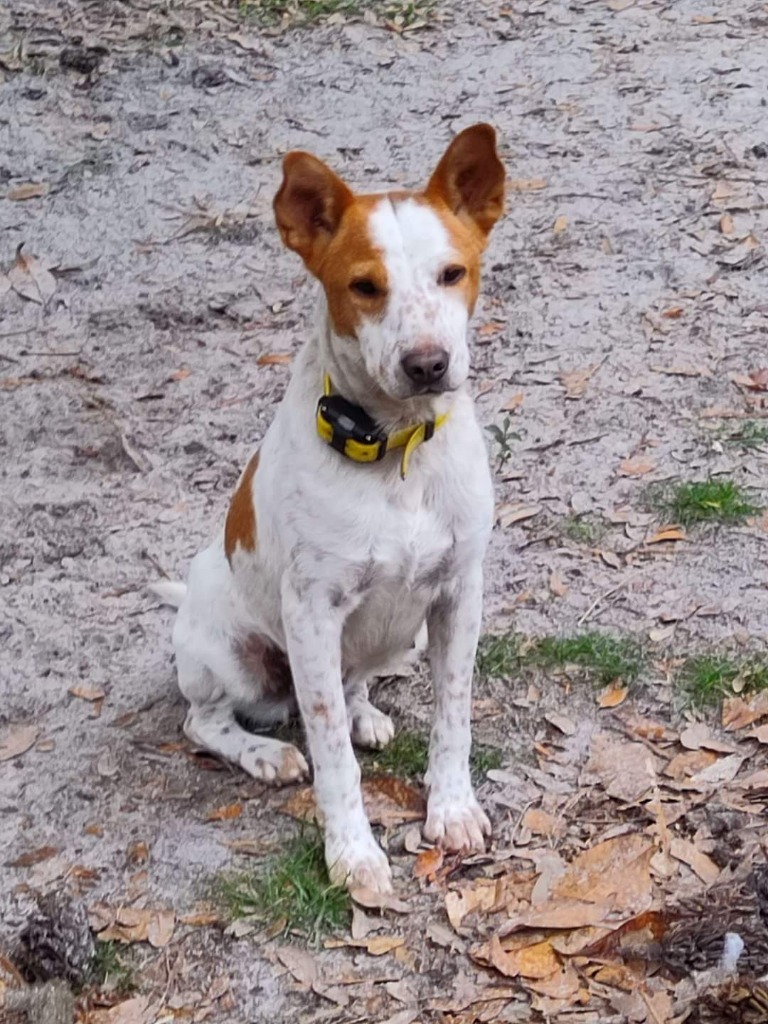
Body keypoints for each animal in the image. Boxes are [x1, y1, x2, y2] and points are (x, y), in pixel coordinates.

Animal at [153, 123, 507, 892]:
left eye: (452, 273)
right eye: (364, 287)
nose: (428, 364)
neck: (399, 453)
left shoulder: (459, 594)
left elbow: (454, 715)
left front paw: (452, 807)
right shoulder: (312, 612)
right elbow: (331, 759)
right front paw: (354, 853)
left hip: (401, 637)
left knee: (353, 685)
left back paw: (364, 713)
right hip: (230, 653)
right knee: (206, 721)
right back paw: (265, 753)